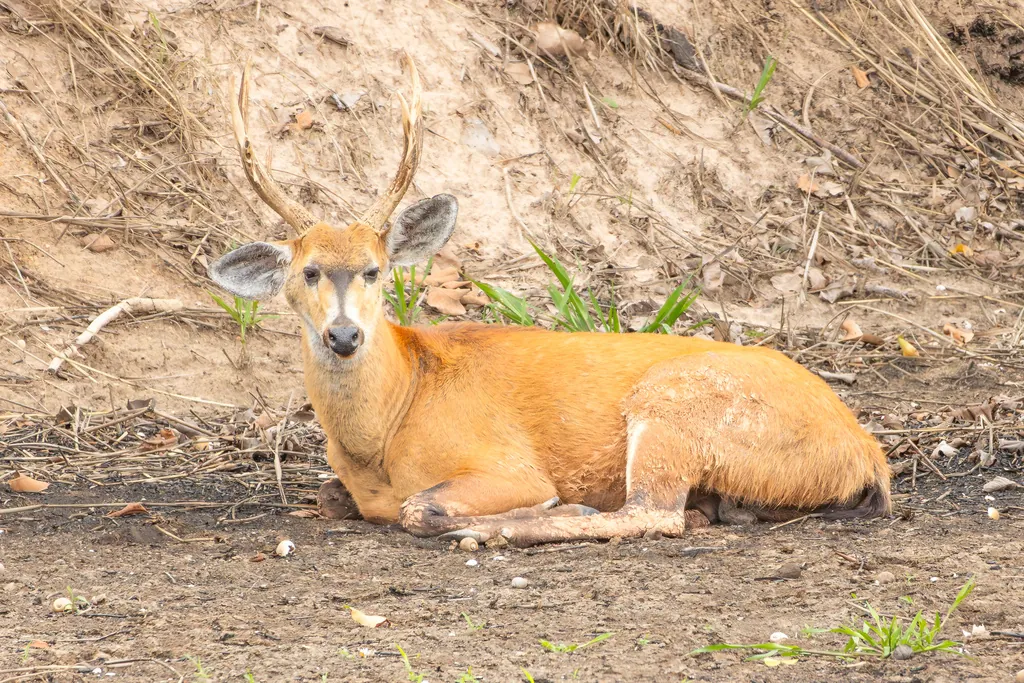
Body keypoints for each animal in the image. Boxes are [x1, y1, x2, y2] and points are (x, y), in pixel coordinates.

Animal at [209, 55, 891, 548]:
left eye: (375, 271)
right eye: (308, 272)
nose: (345, 336)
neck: (388, 425)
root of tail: (866, 450)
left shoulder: (506, 464)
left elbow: (419, 505)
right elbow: (329, 496)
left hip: (678, 409)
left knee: (649, 514)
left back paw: (511, 528)